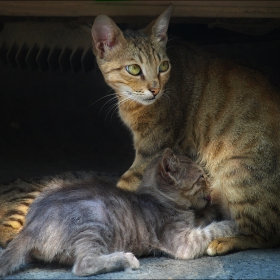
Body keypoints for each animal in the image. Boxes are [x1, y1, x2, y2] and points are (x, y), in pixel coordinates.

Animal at [0, 149, 236, 278]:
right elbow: (207, 231)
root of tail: (31, 228)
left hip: (54, 186)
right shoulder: (181, 242)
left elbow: (203, 221)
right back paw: (125, 259)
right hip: (94, 217)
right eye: (201, 178)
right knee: (83, 265)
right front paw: (229, 224)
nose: (210, 189)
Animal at [90, 5, 280, 255]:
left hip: (236, 172)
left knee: (266, 235)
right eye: (133, 69)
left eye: (163, 66)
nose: (155, 89)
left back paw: (222, 241)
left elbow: (124, 186)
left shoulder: (151, 150)